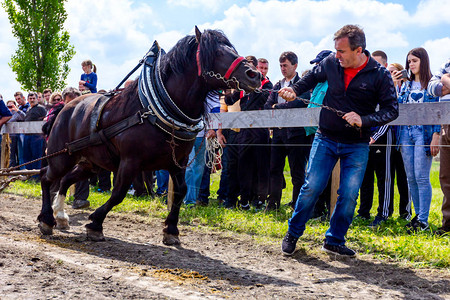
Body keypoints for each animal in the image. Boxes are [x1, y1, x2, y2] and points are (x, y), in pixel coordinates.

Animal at [38, 27, 260, 245]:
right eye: (216, 52)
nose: (255, 75)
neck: (151, 110)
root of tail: (65, 108)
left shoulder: (177, 161)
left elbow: (181, 190)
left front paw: (171, 230)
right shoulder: (130, 161)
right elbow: (118, 193)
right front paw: (95, 223)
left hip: (91, 163)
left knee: (65, 180)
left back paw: (61, 217)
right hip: (62, 156)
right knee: (46, 176)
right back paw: (47, 219)